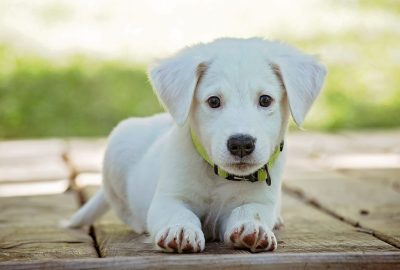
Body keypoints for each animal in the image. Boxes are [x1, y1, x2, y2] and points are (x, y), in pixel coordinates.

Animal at [68, 37, 324, 253]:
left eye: (265, 100)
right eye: (214, 101)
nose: (241, 144)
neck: (218, 176)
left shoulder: (260, 201)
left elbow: (250, 211)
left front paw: (253, 228)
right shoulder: (168, 198)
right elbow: (179, 213)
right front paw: (180, 230)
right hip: (117, 148)